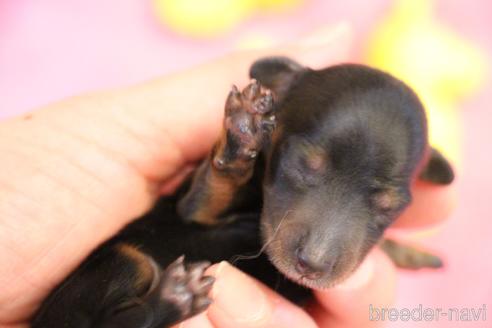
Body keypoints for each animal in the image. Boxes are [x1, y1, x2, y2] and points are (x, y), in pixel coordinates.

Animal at [31, 57, 454, 326]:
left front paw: (406, 252)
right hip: (120, 266)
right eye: (303, 162)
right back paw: (172, 299)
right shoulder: (190, 208)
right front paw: (241, 136)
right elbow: (210, 193)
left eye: (389, 205)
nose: (312, 265)